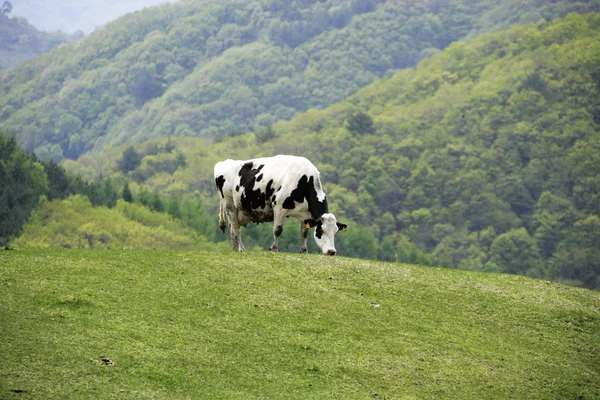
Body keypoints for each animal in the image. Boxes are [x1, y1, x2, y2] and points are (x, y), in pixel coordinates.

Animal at [214, 155, 346, 255]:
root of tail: (224, 162)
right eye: (321, 230)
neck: (304, 181)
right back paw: (238, 249)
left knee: (233, 226)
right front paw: (274, 249)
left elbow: (304, 233)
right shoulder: (279, 208)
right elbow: (277, 230)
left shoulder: (306, 215)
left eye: (335, 232)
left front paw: (304, 251)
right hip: (229, 204)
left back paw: (240, 248)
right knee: (235, 228)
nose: (331, 251)